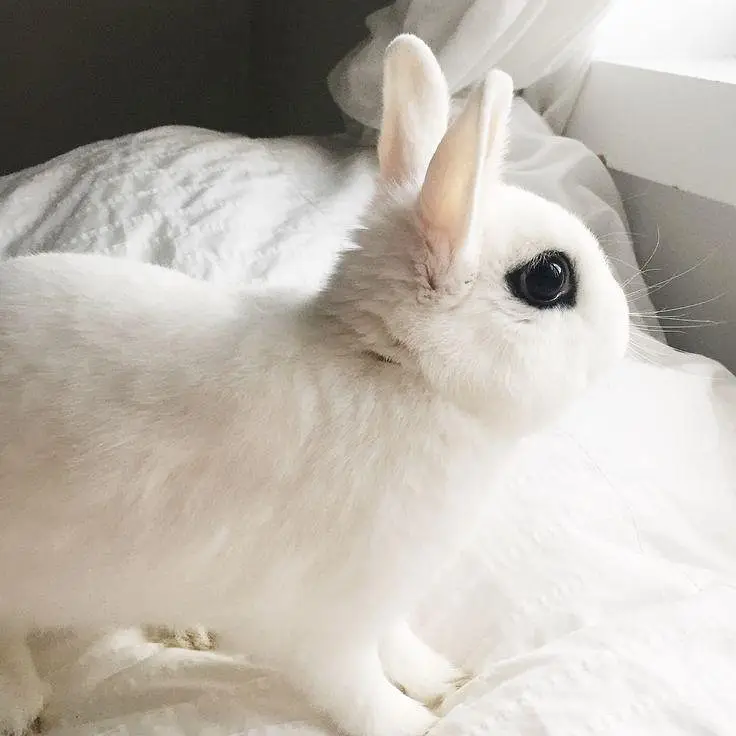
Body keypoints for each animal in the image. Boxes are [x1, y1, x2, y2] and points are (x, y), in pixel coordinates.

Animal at [0, 34, 629, 736]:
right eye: (549, 280)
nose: (626, 329)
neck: (393, 370)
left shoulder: (383, 601)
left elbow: (398, 647)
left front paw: (446, 681)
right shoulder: (321, 623)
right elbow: (358, 690)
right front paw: (421, 724)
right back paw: (20, 706)